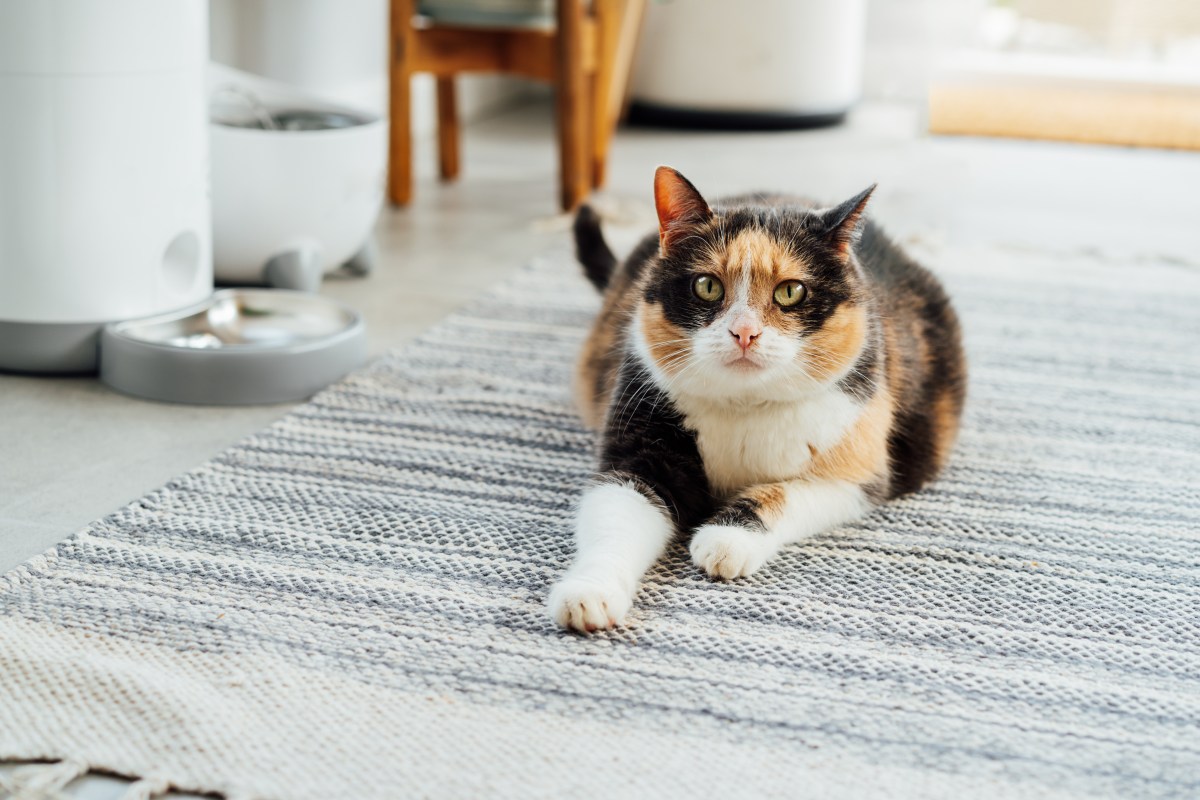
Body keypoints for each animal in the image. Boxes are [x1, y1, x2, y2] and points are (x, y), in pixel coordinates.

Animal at [549, 167, 969, 633]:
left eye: (790, 292)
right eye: (707, 286)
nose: (745, 332)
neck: (744, 407)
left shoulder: (857, 474)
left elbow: (780, 494)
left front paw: (726, 540)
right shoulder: (638, 440)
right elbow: (616, 517)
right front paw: (590, 594)